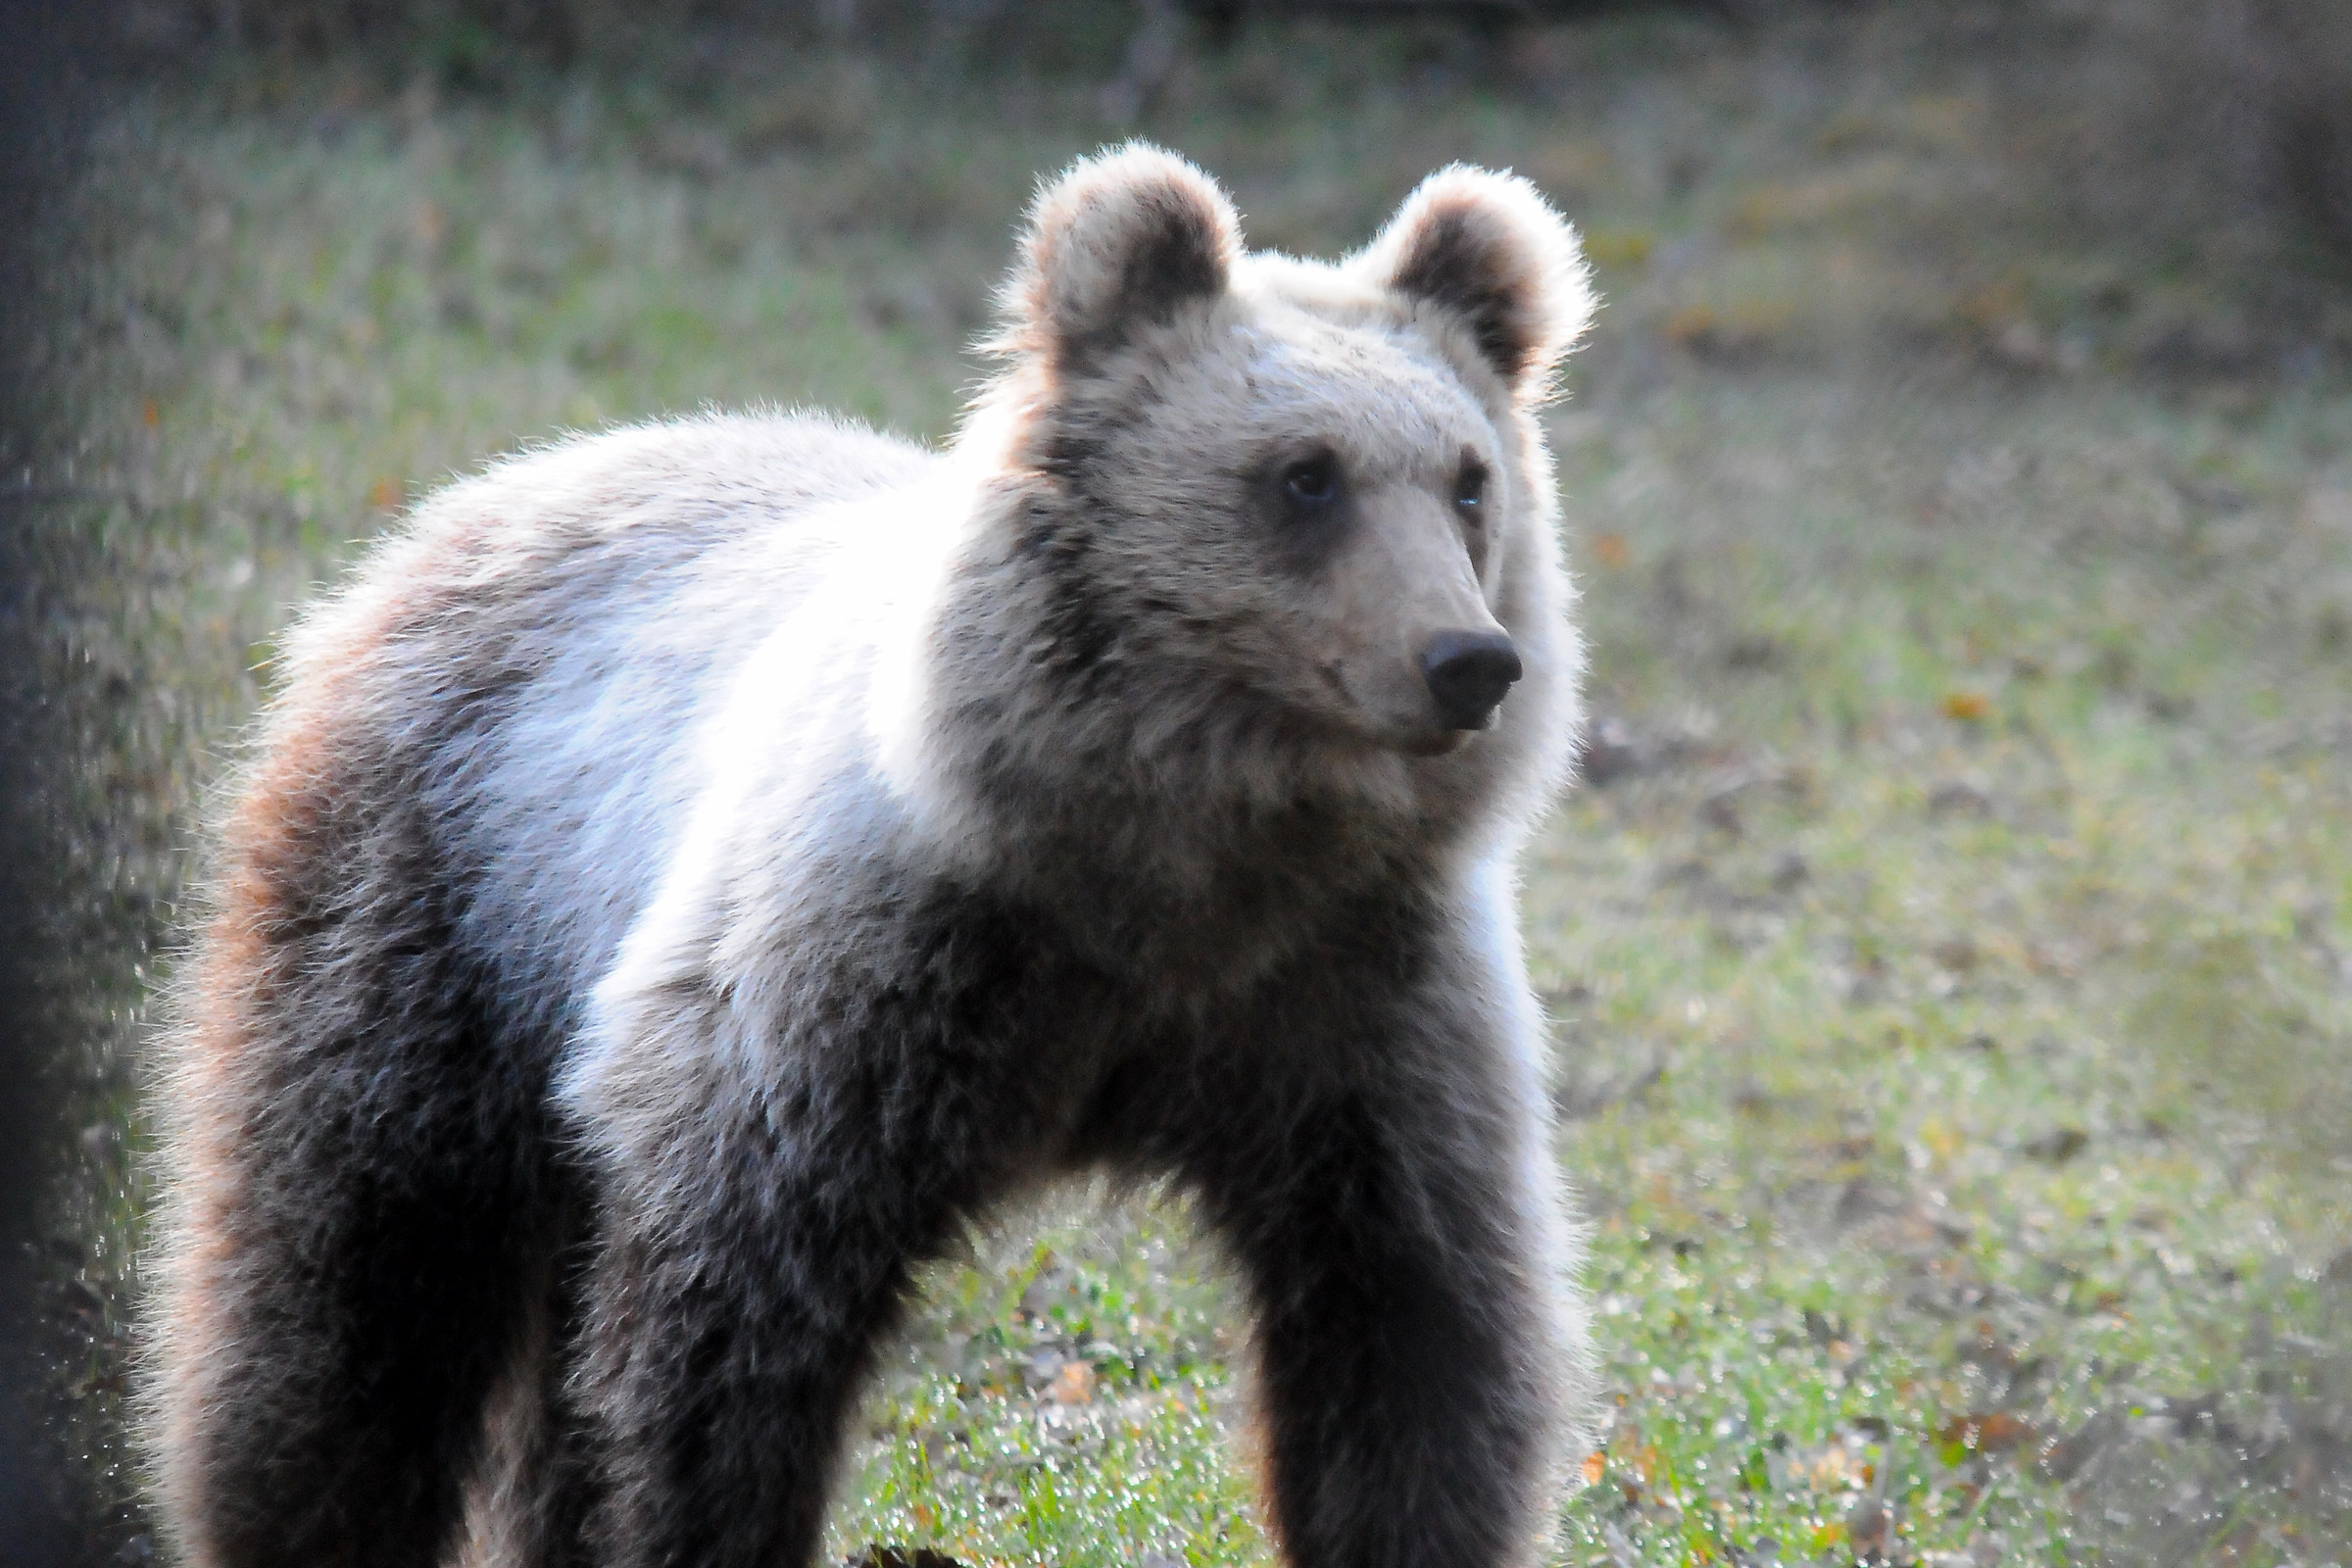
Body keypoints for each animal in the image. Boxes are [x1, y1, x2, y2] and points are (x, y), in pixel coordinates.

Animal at [147, 143, 1599, 1568]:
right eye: (1306, 475)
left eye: (1469, 479)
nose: (1468, 660)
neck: (1163, 859)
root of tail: (473, 500)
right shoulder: (862, 989)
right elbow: (717, 1339)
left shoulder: (1345, 1008)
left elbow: (1414, 1337)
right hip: (436, 915)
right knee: (347, 1292)